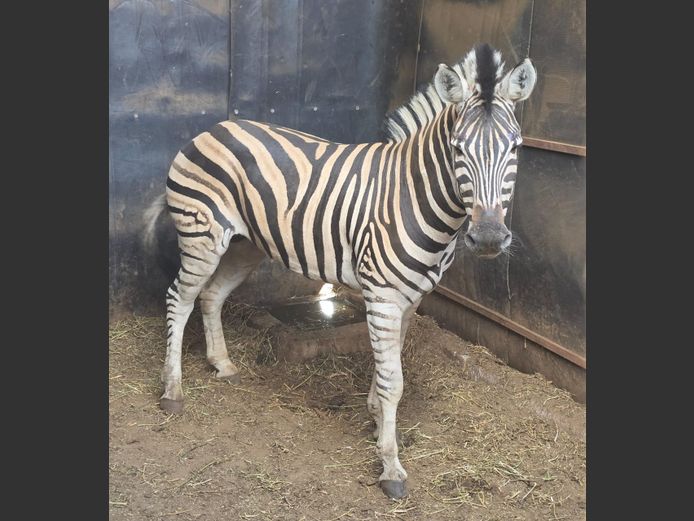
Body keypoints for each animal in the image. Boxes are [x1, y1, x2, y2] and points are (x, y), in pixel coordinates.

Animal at [143, 43, 536, 499]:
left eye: (515, 148)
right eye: (458, 150)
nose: (488, 237)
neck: (415, 196)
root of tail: (213, 127)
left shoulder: (410, 298)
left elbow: (388, 368)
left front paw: (376, 420)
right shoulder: (382, 294)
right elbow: (394, 380)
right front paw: (390, 465)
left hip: (245, 244)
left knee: (210, 296)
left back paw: (222, 364)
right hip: (201, 237)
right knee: (180, 298)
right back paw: (172, 391)